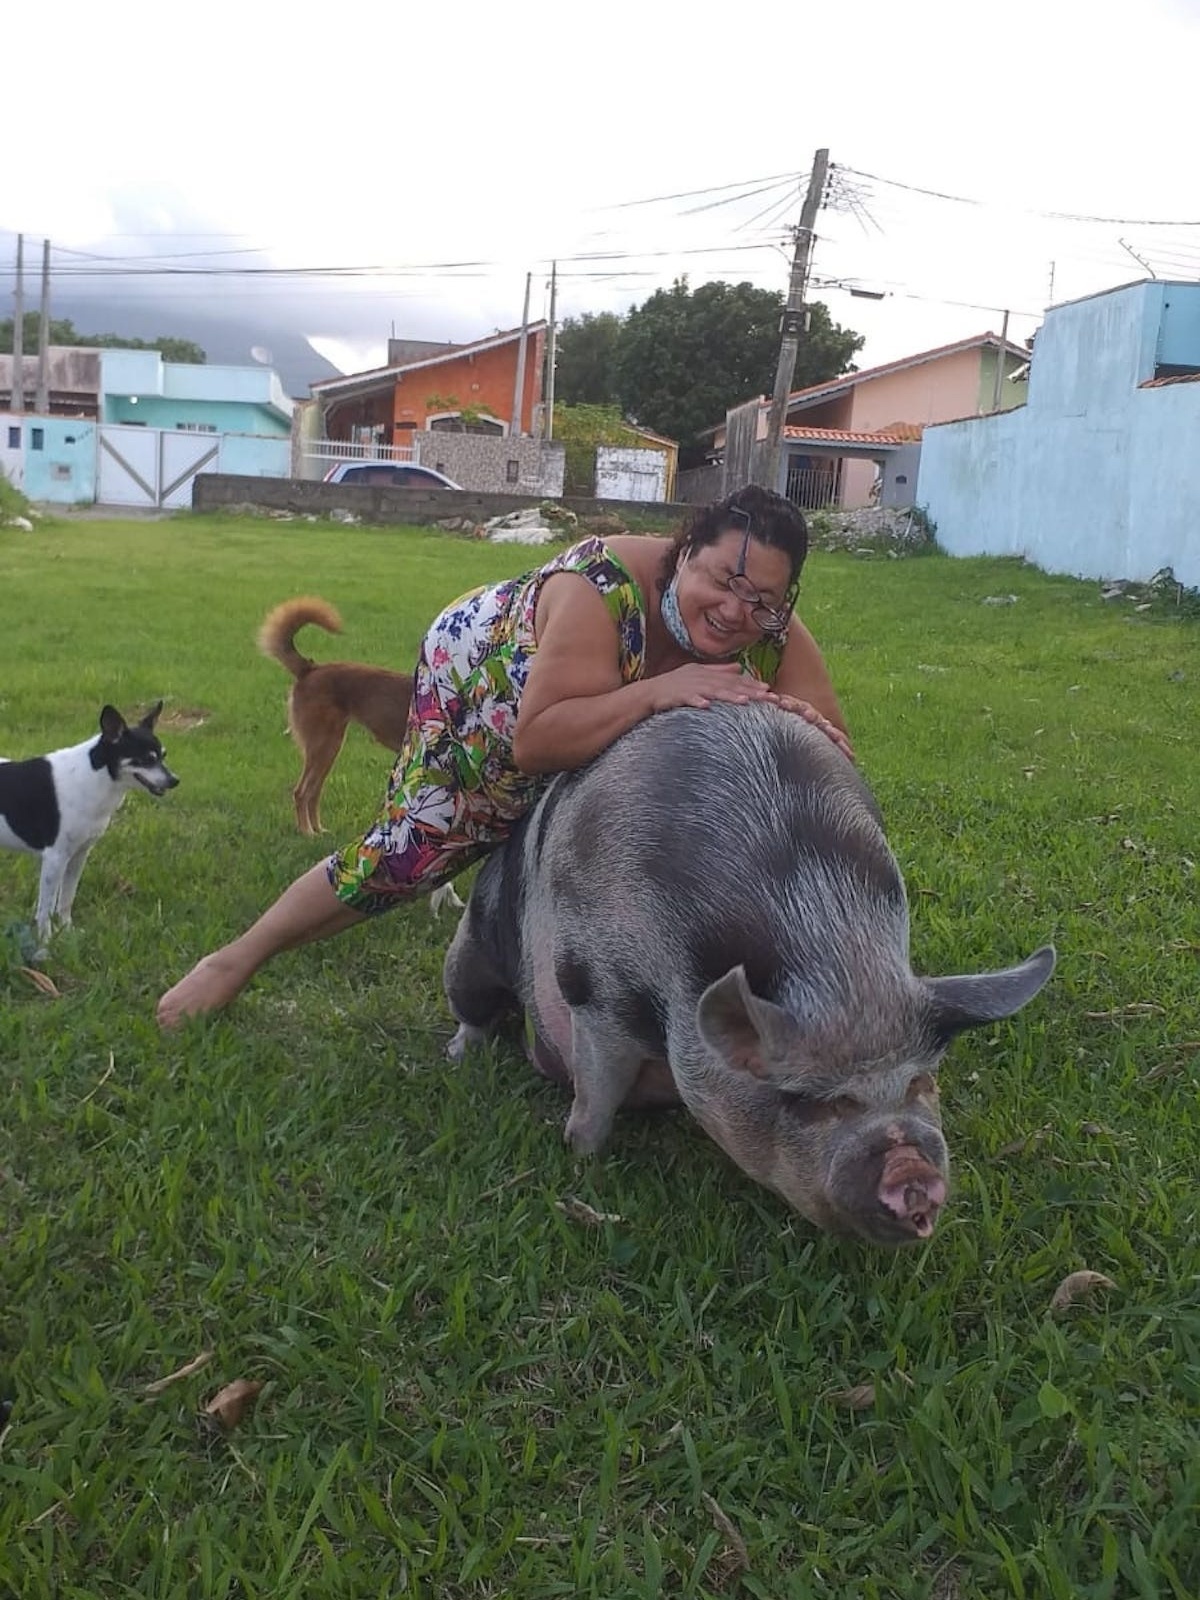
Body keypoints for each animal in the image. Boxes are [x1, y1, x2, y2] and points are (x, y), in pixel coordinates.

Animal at [0, 700, 180, 934]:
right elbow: (45, 909)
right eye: (146, 760)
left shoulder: (78, 855)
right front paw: (45, 940)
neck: (92, 776)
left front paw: (67, 931)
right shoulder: (55, 859)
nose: (175, 780)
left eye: (163, 756)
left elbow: (66, 898)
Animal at [259, 595, 419, 832]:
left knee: (314, 792)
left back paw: (319, 830)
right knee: (301, 792)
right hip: (324, 745)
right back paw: (307, 832)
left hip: (330, 747)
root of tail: (310, 669)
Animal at [441, 707, 1049, 1241]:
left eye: (921, 1081)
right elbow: (596, 1093)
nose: (911, 1172)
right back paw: (458, 1055)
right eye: (806, 1099)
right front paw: (581, 1160)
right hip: (472, 947)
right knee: (471, 1004)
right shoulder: (592, 991)